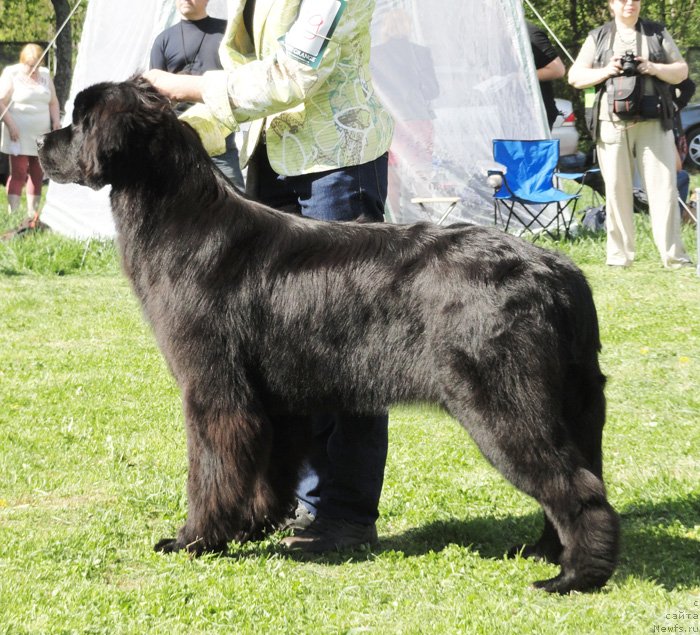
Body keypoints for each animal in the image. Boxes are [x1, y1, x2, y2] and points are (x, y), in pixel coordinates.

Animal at [37, 79, 616, 596]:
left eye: (80, 121)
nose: (42, 141)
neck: (181, 220)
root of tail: (558, 272)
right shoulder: (276, 402)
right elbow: (269, 471)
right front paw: (253, 528)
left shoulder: (213, 390)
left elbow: (211, 471)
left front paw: (194, 540)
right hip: (576, 403)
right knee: (585, 475)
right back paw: (545, 551)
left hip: (502, 403)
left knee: (578, 487)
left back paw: (573, 577)